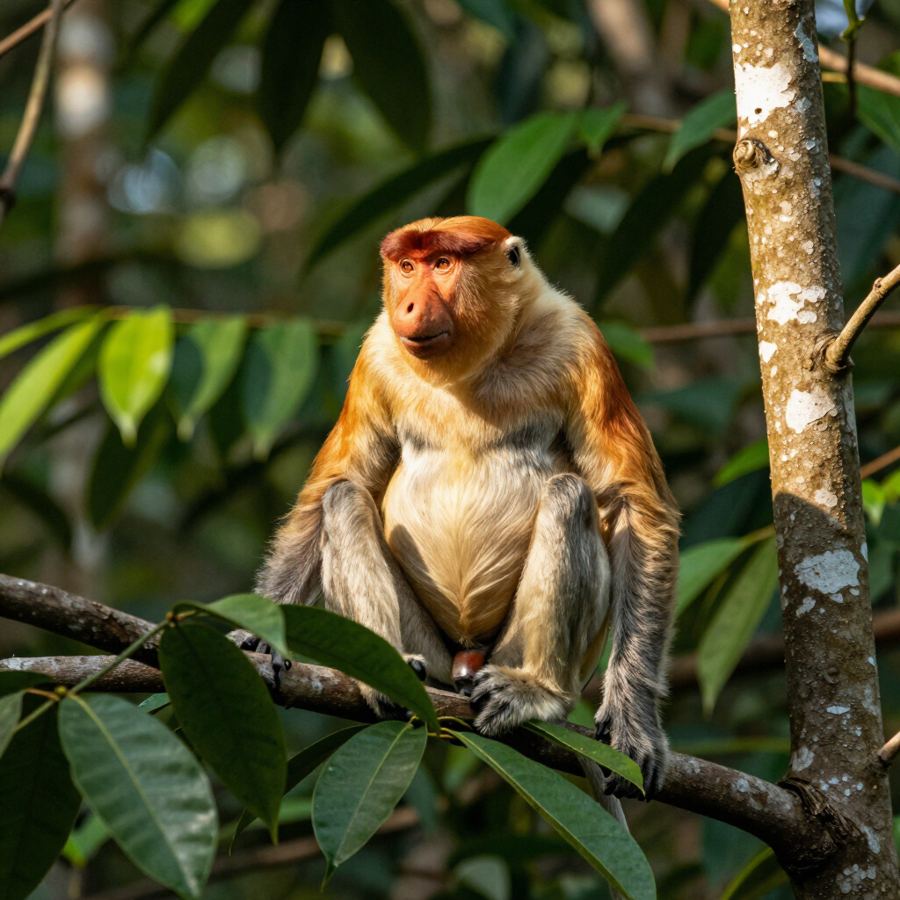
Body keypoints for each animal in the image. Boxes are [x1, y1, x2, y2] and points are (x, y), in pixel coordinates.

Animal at [246, 216, 680, 798]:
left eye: (443, 264)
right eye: (407, 266)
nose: (408, 305)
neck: (473, 366)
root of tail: (465, 660)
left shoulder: (580, 340)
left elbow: (636, 504)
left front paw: (634, 725)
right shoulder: (376, 352)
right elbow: (335, 484)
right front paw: (253, 638)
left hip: (527, 652)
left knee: (568, 495)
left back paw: (536, 692)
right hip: (431, 648)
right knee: (343, 500)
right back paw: (389, 676)